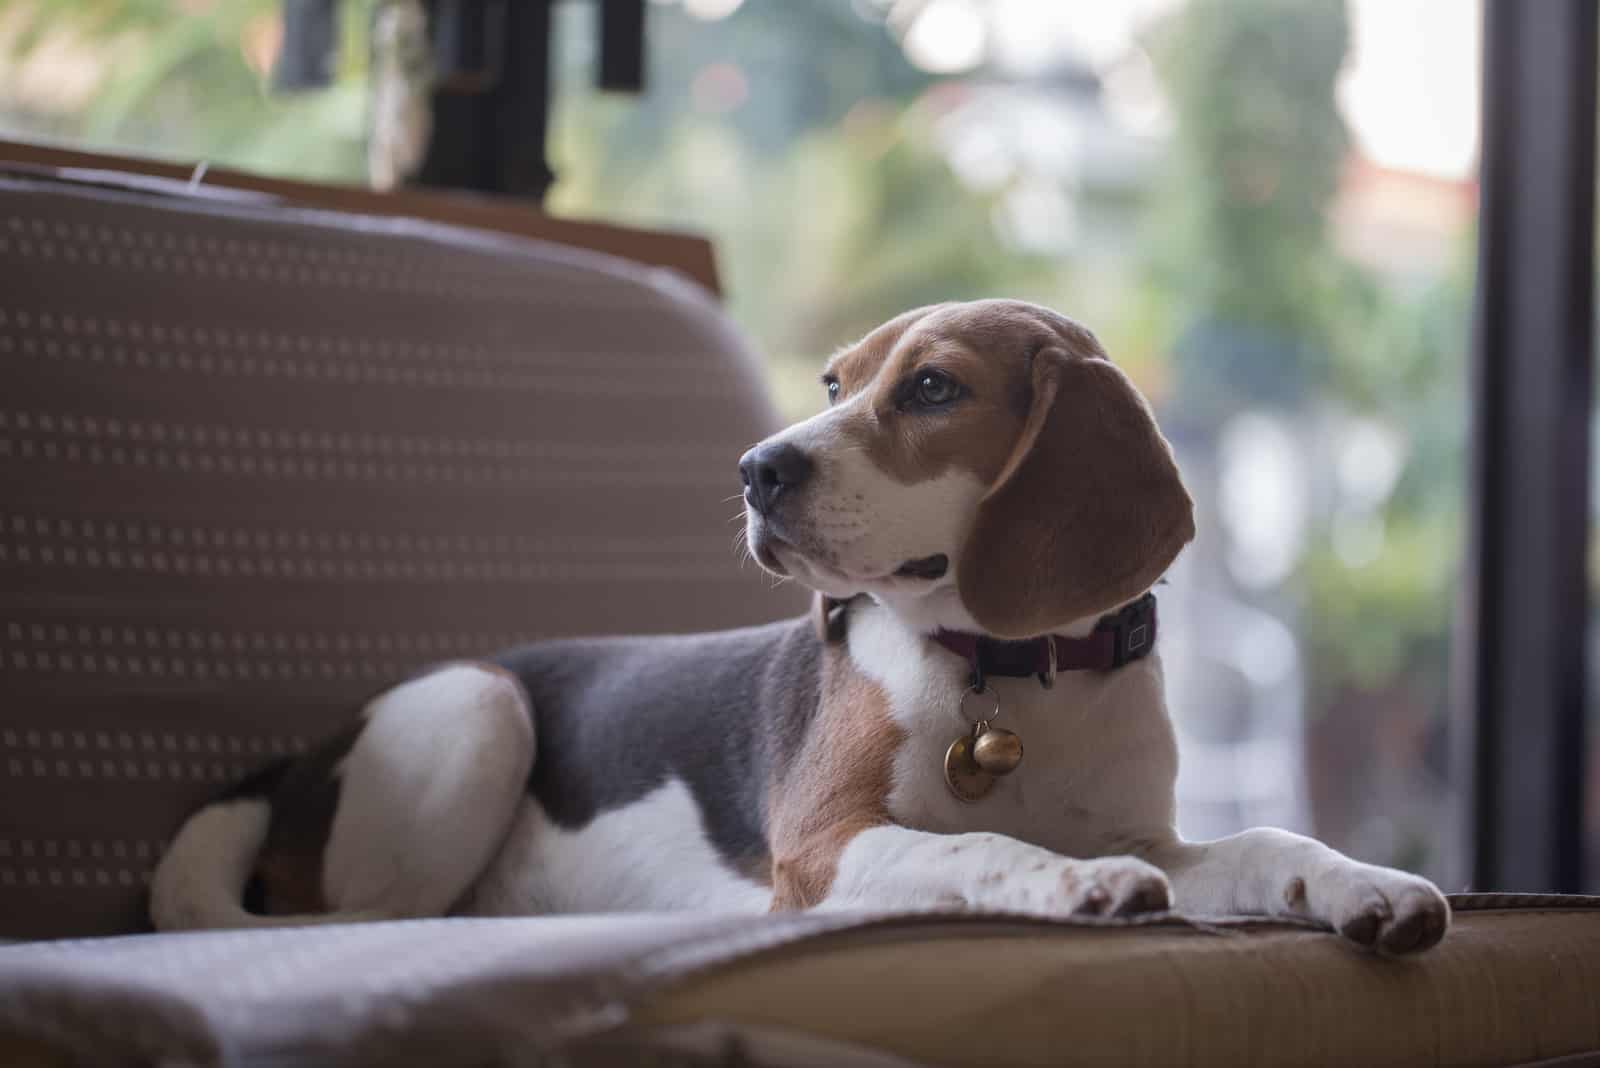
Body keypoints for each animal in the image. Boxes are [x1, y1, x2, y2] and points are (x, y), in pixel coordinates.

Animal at [150, 295, 1452, 952]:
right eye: (835, 384)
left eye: (931, 387)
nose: (753, 469)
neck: (1013, 675)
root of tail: (297, 764)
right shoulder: (826, 849)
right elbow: (974, 850)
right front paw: (1074, 887)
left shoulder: (1160, 835)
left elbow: (1268, 845)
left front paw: (1370, 888)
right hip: (480, 708)